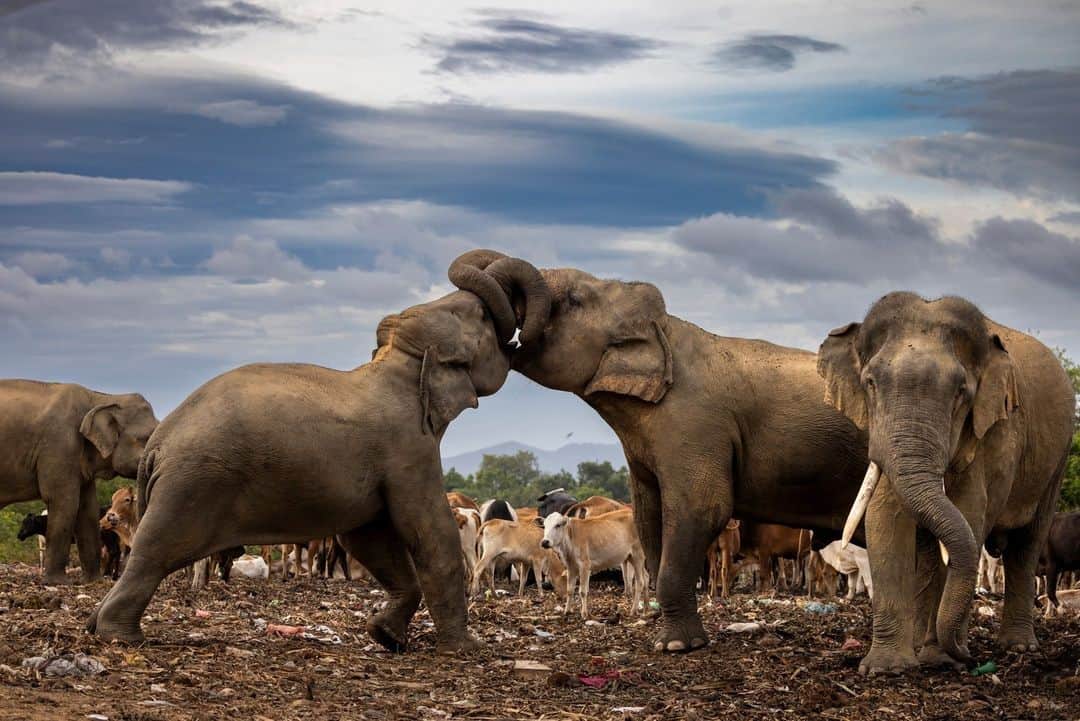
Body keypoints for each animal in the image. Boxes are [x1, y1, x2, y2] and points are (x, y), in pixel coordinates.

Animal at [0, 380, 158, 584]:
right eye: (148, 437)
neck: (100, 398)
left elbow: (87, 508)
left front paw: (94, 581)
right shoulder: (60, 446)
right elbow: (65, 502)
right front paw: (58, 582)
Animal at [87, 266, 549, 653]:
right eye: (483, 318)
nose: (520, 335)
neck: (396, 364)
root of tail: (157, 445)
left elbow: (370, 539)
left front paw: (386, 637)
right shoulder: (407, 448)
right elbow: (428, 532)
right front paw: (466, 649)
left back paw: (95, 626)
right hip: (192, 484)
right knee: (156, 550)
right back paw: (120, 636)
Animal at [447, 250, 870, 653]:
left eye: (573, 300)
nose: (508, 338)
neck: (664, 327)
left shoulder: (696, 427)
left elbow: (702, 508)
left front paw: (676, 646)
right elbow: (651, 518)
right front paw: (667, 633)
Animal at [817, 292, 1074, 673]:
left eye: (961, 392)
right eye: (870, 383)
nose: (968, 656)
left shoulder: (995, 431)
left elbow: (969, 514)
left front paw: (942, 659)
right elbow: (885, 516)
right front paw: (885, 668)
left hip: (1056, 462)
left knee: (1027, 544)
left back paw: (1018, 647)